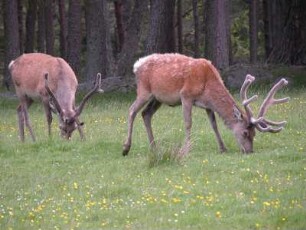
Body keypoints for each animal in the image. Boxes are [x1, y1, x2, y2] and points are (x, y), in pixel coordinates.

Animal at [122, 53, 290, 155]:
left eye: (254, 133)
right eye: (245, 133)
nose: (249, 151)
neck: (208, 84)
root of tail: (137, 65)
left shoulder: (208, 105)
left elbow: (214, 125)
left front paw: (223, 148)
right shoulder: (186, 95)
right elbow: (188, 123)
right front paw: (186, 149)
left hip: (157, 98)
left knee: (145, 114)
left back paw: (154, 147)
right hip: (144, 90)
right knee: (131, 110)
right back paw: (126, 148)